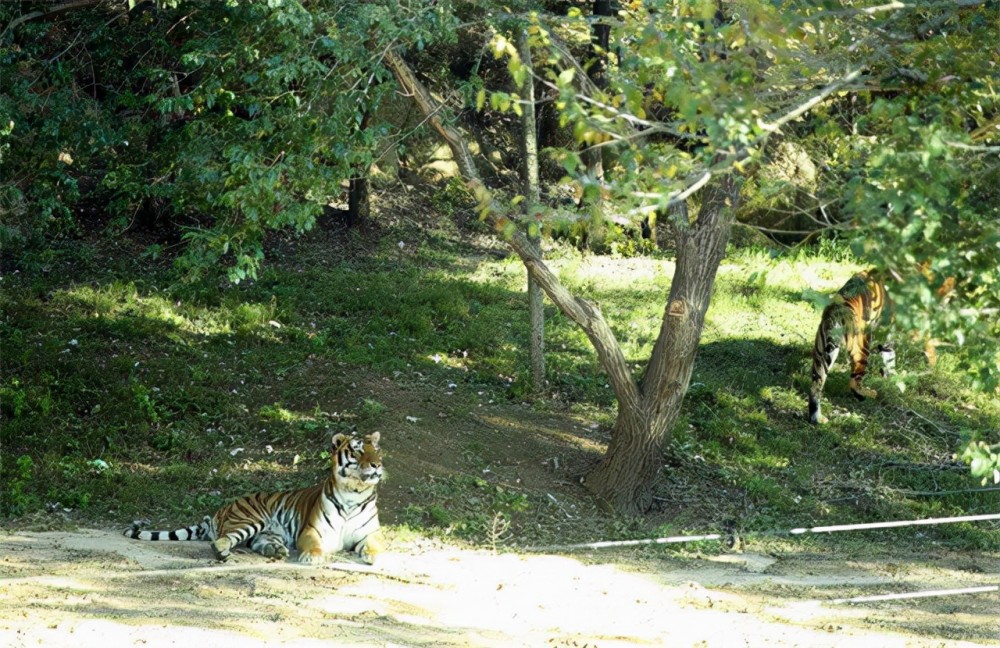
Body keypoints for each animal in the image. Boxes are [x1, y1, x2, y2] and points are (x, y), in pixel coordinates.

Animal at [124, 432, 386, 564]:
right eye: (357, 450)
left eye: (377, 450)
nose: (377, 465)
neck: (354, 493)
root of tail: (222, 508)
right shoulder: (311, 531)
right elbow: (314, 545)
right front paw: (312, 557)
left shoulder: (371, 533)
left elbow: (374, 545)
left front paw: (375, 556)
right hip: (250, 520)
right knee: (222, 540)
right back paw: (223, 553)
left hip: (267, 532)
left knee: (259, 543)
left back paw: (276, 551)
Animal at [808, 270, 896, 426]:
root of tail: (836, 311)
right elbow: (890, 354)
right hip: (862, 346)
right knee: (854, 382)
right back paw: (867, 394)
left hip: (821, 352)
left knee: (816, 386)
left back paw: (817, 418)